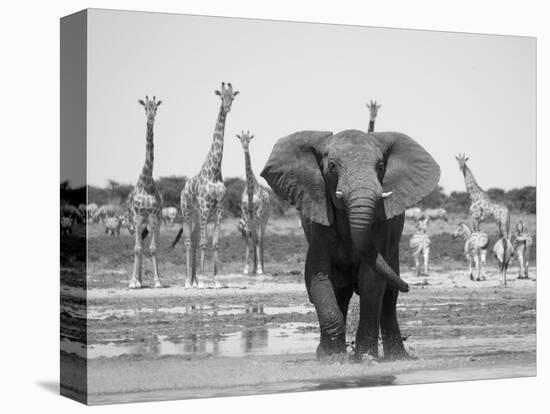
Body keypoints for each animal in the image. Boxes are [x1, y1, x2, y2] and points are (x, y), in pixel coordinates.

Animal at [171, 81, 240, 288]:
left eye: (232, 97)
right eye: (221, 96)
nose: (227, 107)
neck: (215, 171)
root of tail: (183, 189)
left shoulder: (219, 207)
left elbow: (215, 242)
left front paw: (215, 280)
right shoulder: (204, 206)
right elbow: (203, 242)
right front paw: (202, 280)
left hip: (196, 214)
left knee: (193, 240)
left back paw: (193, 280)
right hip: (187, 211)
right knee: (188, 240)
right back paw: (188, 281)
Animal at [260, 129, 442, 360]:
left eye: (380, 166)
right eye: (332, 166)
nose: (410, 285)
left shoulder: (381, 224)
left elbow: (371, 280)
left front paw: (365, 358)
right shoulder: (320, 221)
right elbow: (318, 275)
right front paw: (330, 359)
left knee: (389, 297)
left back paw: (397, 357)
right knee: (342, 293)